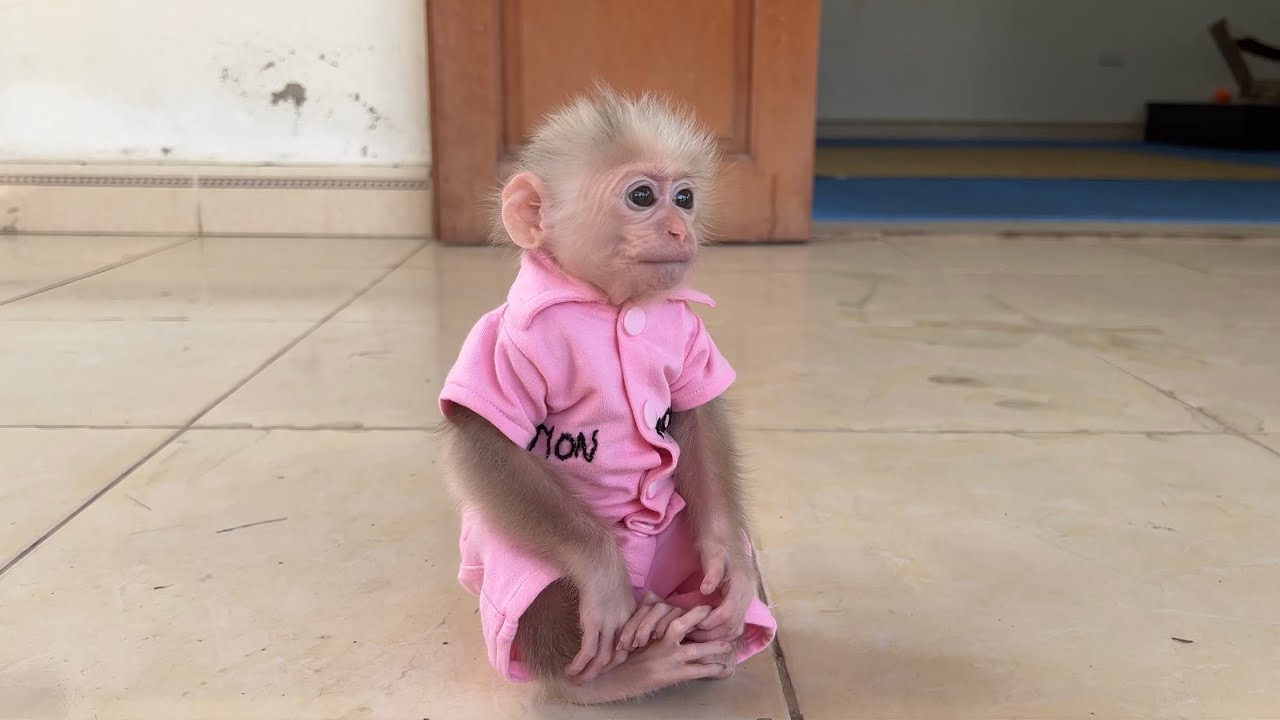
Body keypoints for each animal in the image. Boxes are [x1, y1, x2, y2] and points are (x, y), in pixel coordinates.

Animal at [438, 85, 775, 704]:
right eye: (642, 196)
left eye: (685, 198)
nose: (679, 229)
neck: (609, 303)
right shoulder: (508, 343)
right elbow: (485, 439)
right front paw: (603, 578)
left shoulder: (688, 331)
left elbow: (697, 418)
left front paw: (731, 563)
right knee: (536, 599)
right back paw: (625, 671)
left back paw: (699, 635)